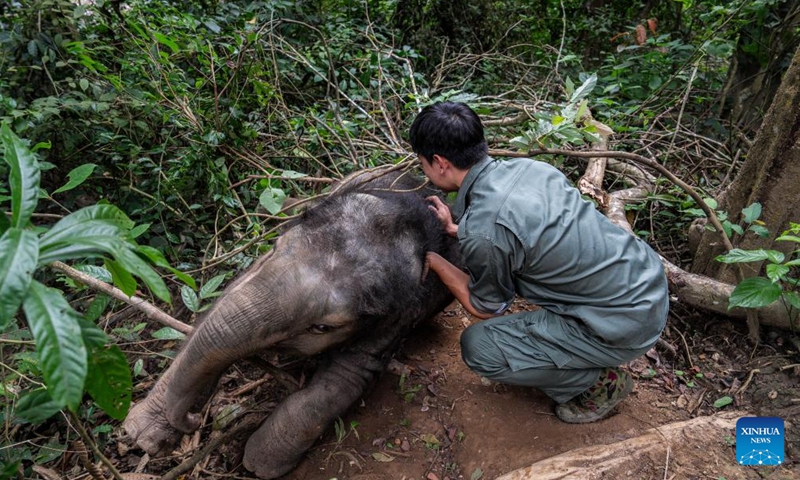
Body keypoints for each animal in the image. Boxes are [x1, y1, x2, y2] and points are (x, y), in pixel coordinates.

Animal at [123, 169, 460, 478]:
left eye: (322, 328)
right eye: (273, 249)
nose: (193, 420)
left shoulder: (398, 315)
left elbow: (347, 376)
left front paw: (258, 462)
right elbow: (219, 309)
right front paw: (142, 433)